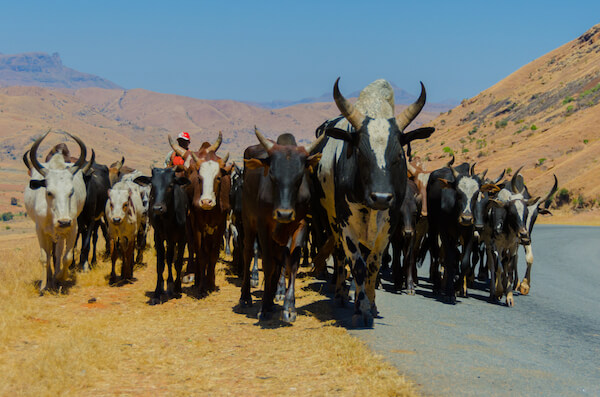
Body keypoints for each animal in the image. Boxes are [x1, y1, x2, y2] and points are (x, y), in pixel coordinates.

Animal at [24, 131, 91, 292]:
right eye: (49, 192)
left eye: (71, 191)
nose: (64, 221)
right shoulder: (40, 230)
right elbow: (44, 257)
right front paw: (44, 285)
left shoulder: (73, 228)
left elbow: (66, 257)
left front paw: (60, 276)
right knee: (50, 255)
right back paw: (49, 279)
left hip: (61, 233)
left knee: (58, 252)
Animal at [134, 167, 189, 304]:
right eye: (152, 185)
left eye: (170, 185)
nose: (158, 208)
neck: (167, 218)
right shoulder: (158, 237)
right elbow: (160, 264)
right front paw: (158, 291)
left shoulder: (182, 237)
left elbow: (177, 262)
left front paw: (176, 287)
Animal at [171, 133, 234, 294]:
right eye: (199, 178)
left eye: (218, 177)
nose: (206, 202)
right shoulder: (197, 224)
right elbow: (200, 253)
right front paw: (200, 283)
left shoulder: (220, 225)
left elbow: (212, 254)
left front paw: (210, 282)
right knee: (193, 246)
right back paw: (193, 274)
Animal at [239, 127, 324, 322]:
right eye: (272, 175)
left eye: (299, 178)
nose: (284, 214)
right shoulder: (263, 226)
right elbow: (268, 264)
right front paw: (263, 308)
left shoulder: (301, 225)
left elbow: (291, 263)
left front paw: (289, 307)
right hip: (248, 222)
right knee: (247, 253)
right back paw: (246, 297)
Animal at [312, 78, 434, 324]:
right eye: (360, 152)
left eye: (399, 155)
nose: (381, 197)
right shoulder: (346, 223)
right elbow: (357, 265)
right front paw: (362, 309)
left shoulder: (389, 225)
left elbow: (373, 264)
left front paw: (372, 304)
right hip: (331, 218)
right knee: (340, 255)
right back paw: (340, 293)